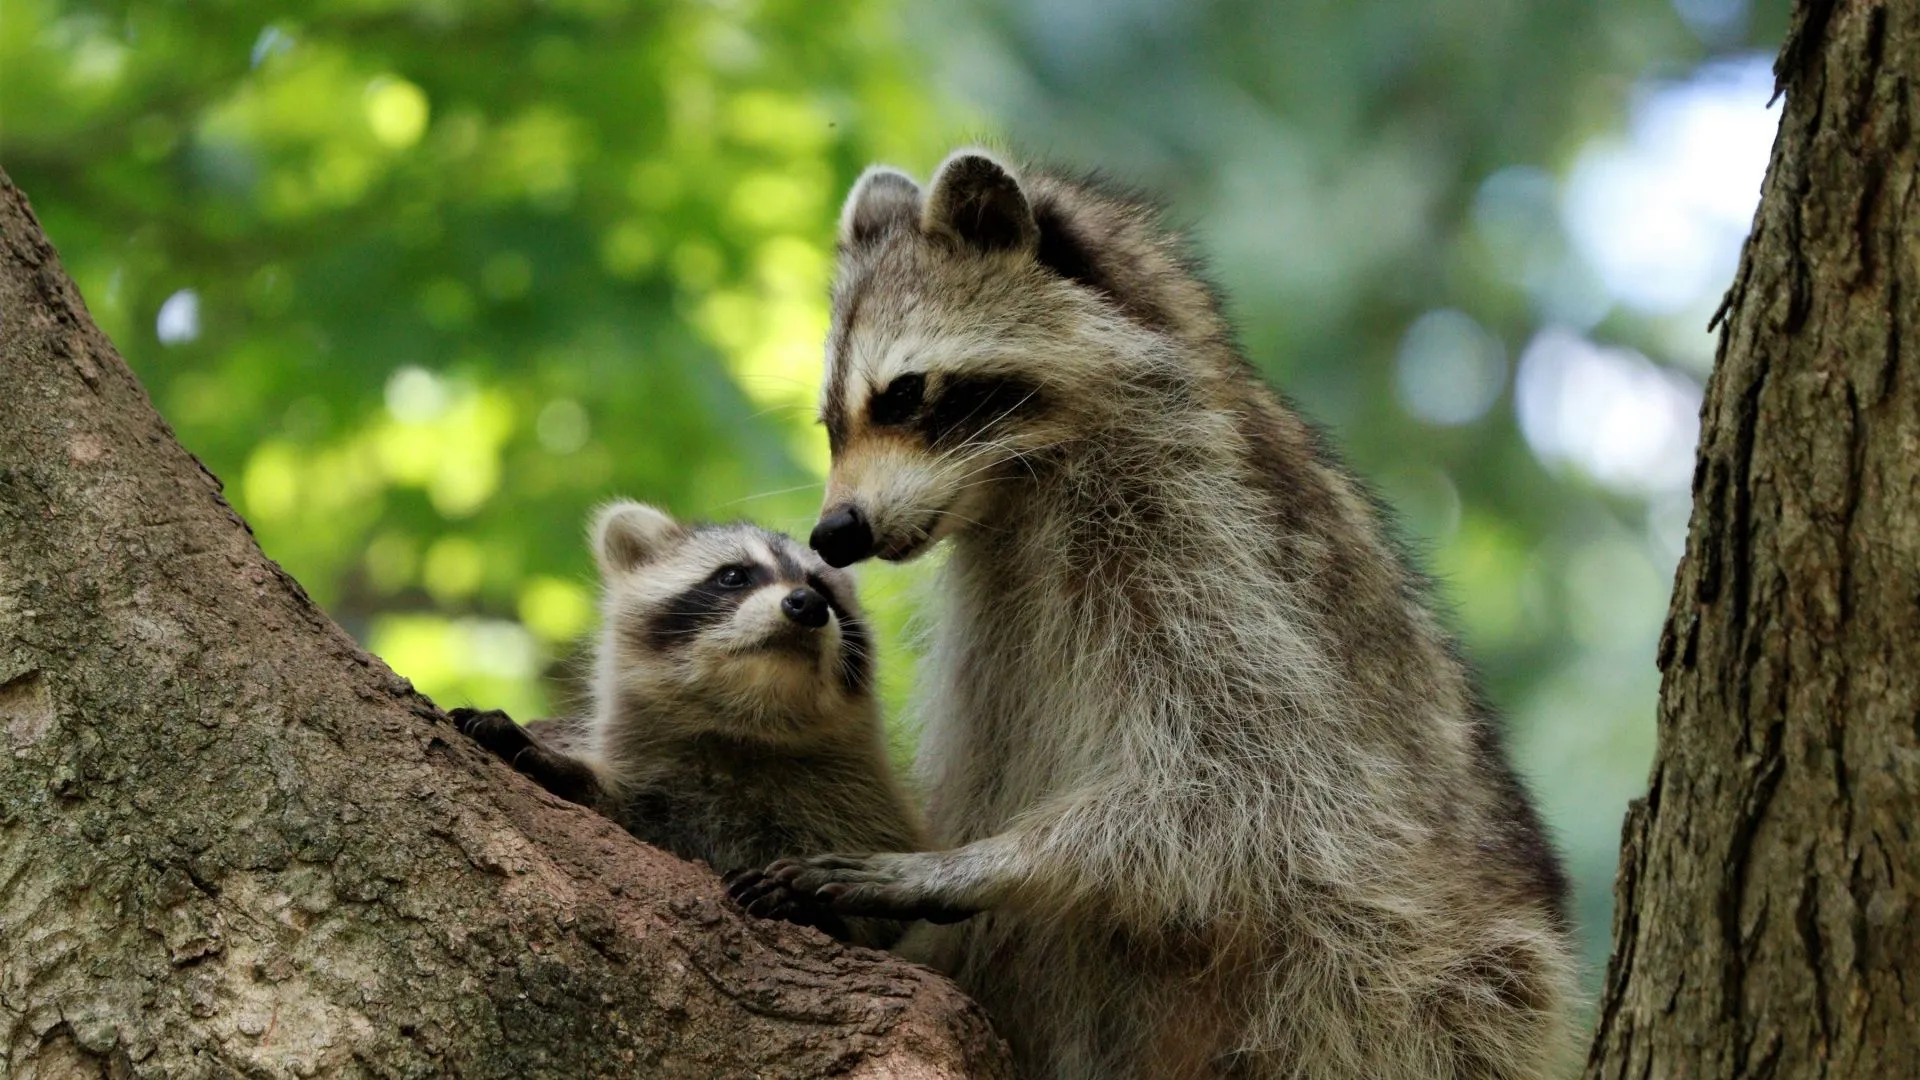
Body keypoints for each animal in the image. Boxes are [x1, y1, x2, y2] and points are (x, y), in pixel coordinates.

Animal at [456, 500, 923, 948]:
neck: (744, 726)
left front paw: (815, 905)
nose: (807, 603)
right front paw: (564, 768)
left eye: (823, 590)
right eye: (733, 576)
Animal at [733, 152, 1581, 1077]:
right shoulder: (999, 611)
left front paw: (976, 864)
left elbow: (1244, 787)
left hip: (1440, 983)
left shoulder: (1210, 544)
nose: (834, 533)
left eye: (902, 395)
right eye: (830, 424)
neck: (1021, 487)